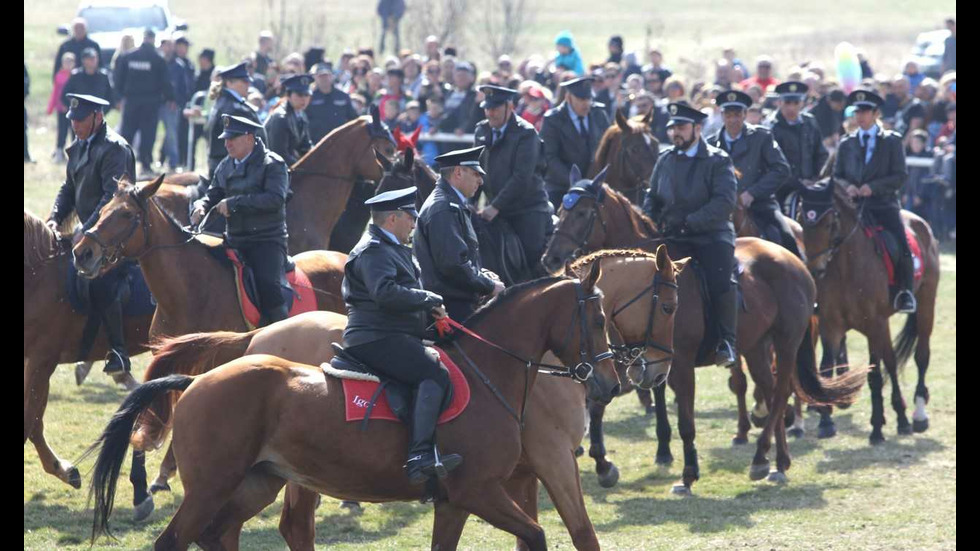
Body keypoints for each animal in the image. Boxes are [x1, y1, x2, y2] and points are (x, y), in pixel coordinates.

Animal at [24, 210, 153, 488]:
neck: (36, 276)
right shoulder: (36, 363)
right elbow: (36, 422)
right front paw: (63, 469)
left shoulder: (42, 361)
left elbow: (29, 421)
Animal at [130, 248, 680, 548]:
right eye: (596, 318)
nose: (614, 382)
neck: (495, 371)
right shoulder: (500, 481)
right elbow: (556, 534)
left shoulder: (464, 498)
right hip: (215, 485)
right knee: (189, 538)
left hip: (258, 481)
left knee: (222, 534)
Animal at [536, 180, 864, 492]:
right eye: (561, 211)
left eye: (582, 213)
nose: (551, 258)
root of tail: (795, 261)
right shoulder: (617, 360)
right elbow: (598, 404)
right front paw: (605, 465)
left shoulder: (678, 363)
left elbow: (686, 422)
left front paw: (688, 474)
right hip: (756, 346)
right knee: (771, 392)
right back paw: (776, 461)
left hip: (786, 341)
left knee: (781, 392)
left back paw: (763, 455)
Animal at [800, 179, 944, 446]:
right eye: (802, 220)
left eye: (829, 223)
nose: (815, 270)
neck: (845, 267)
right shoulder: (831, 325)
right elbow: (825, 370)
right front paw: (825, 422)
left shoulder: (872, 324)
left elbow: (875, 374)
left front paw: (876, 428)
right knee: (892, 360)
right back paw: (902, 418)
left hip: (925, 304)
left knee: (921, 356)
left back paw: (918, 414)